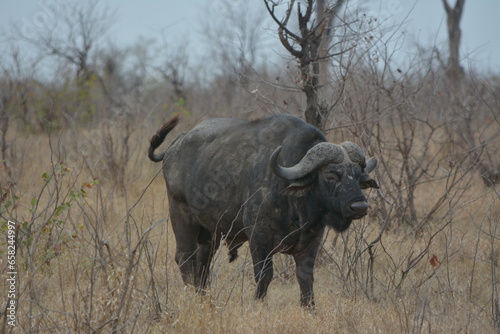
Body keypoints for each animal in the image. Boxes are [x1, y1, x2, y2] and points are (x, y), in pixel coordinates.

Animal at [149, 113, 378, 306]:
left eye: (358, 174)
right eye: (331, 175)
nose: (359, 206)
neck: (295, 205)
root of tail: (174, 147)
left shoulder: (311, 241)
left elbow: (305, 277)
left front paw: (309, 307)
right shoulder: (259, 237)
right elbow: (264, 274)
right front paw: (259, 303)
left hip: (210, 232)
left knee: (203, 261)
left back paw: (203, 296)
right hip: (181, 215)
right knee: (185, 257)